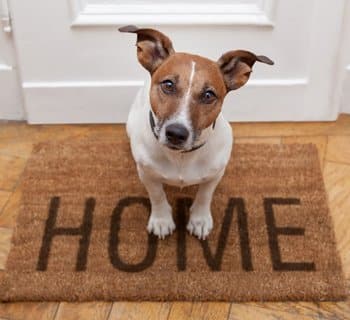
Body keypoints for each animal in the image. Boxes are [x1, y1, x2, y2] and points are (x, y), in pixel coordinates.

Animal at [119, 25, 272, 240]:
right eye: (168, 84)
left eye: (208, 95)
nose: (176, 133)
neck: (181, 157)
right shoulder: (147, 174)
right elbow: (157, 195)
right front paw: (161, 220)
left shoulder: (215, 174)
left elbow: (205, 195)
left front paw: (199, 219)